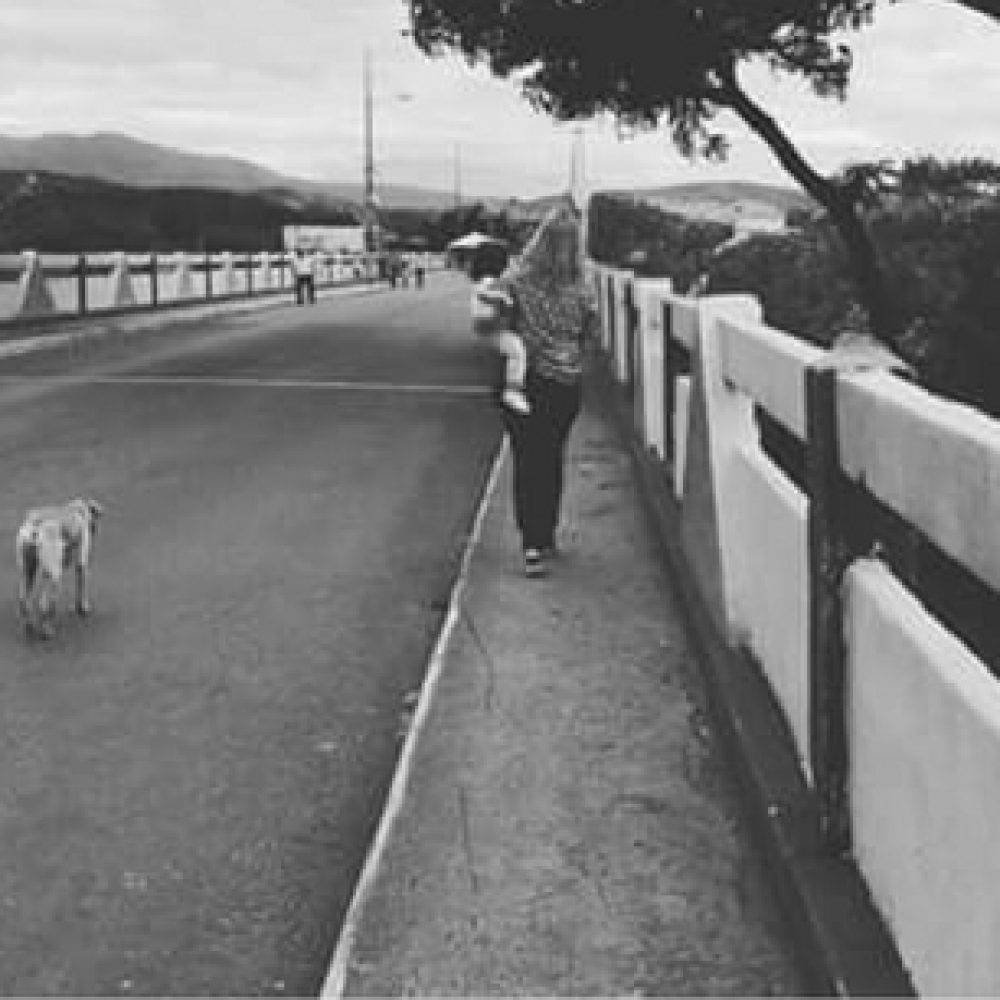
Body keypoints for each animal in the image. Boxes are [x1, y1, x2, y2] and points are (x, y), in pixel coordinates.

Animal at [15, 500, 103, 640]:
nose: (94, 529)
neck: (79, 510)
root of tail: (34, 525)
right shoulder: (82, 563)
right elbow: (82, 586)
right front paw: (83, 608)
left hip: (27, 571)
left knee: (23, 601)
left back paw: (29, 626)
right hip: (54, 576)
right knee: (45, 605)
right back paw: (47, 630)